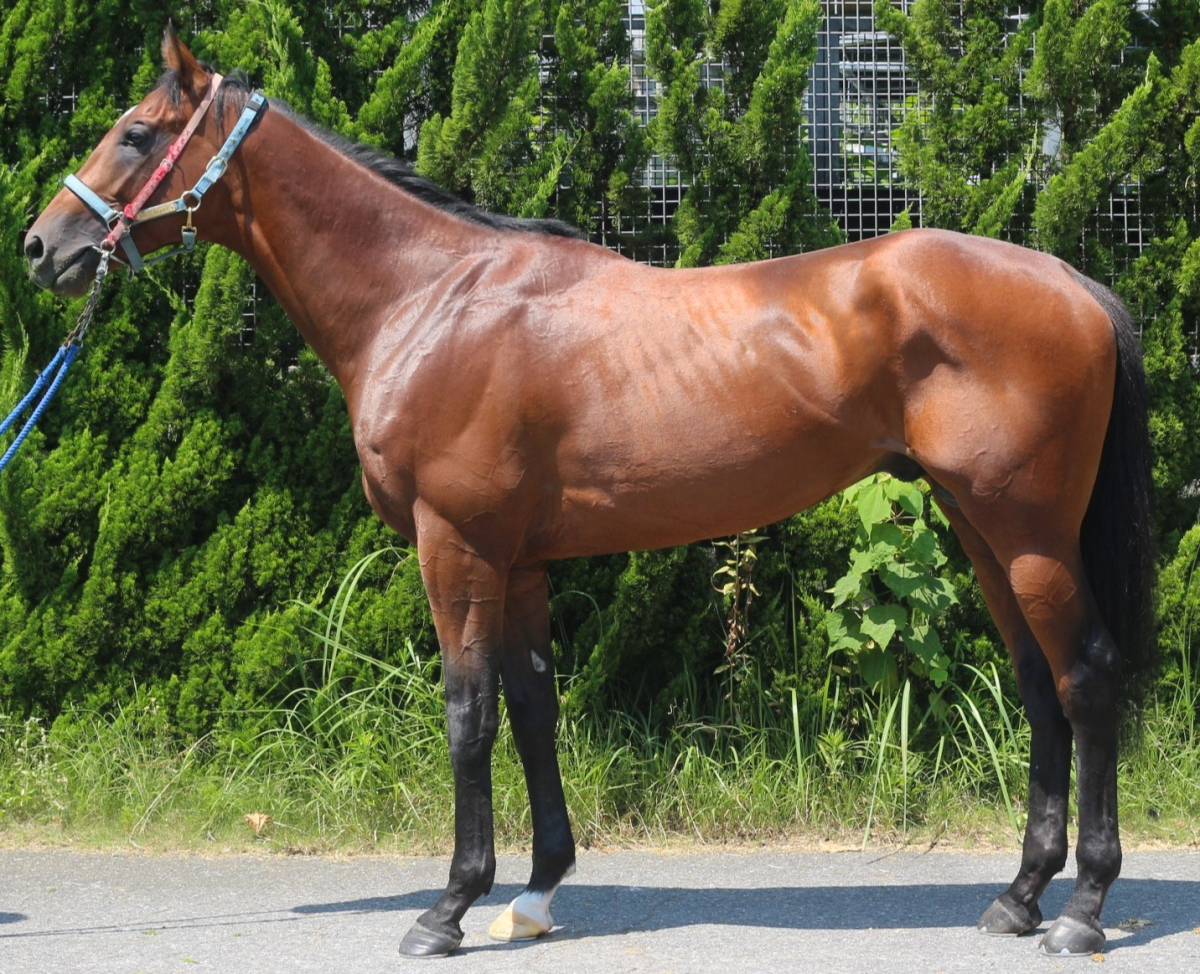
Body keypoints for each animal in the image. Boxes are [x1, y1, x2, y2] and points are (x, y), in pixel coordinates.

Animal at [24, 29, 1154, 958]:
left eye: (135, 133)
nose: (43, 247)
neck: (431, 298)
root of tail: (1073, 281)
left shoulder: (457, 546)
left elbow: (468, 712)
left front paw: (447, 908)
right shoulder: (518, 560)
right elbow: (533, 707)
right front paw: (534, 892)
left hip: (1028, 531)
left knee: (1088, 677)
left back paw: (1084, 910)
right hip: (982, 527)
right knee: (1037, 682)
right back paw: (1018, 898)